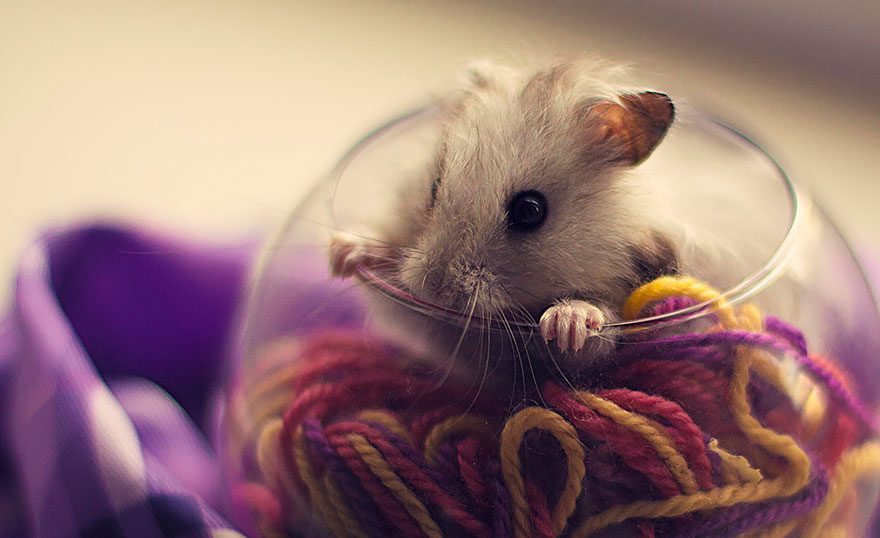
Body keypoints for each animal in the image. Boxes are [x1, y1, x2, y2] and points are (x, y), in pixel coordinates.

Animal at [328, 59, 679, 371]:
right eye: (434, 186)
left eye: (529, 210)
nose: (436, 291)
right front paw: (342, 253)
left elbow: (594, 337)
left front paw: (566, 323)